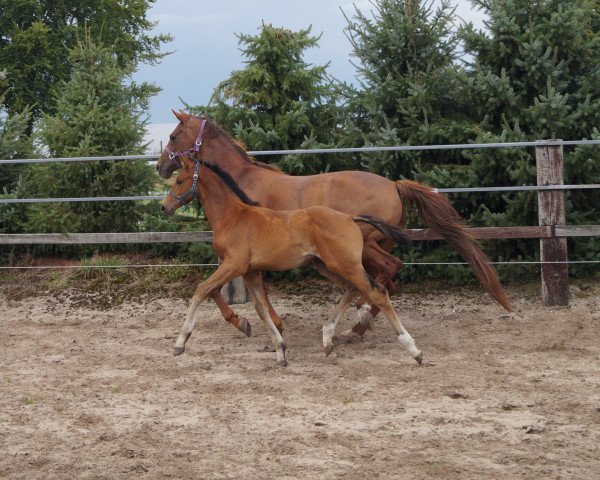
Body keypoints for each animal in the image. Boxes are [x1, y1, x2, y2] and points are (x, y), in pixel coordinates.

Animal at [156, 113, 510, 338]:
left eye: (173, 135)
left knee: (387, 271)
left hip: (366, 245)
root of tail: (394, 185)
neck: (241, 184)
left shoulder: (243, 256)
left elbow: (220, 290)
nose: (159, 167)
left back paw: (358, 322)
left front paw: (248, 322)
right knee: (386, 279)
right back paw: (360, 320)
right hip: (372, 246)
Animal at [161, 156, 422, 366]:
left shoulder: (233, 264)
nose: (165, 206)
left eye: (179, 180)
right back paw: (328, 338)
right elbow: (261, 307)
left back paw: (413, 349)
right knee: (351, 289)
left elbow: (202, 289)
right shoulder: (250, 271)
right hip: (325, 265)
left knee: (378, 292)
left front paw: (180, 343)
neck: (234, 217)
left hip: (347, 265)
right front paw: (280, 351)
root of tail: (350, 218)